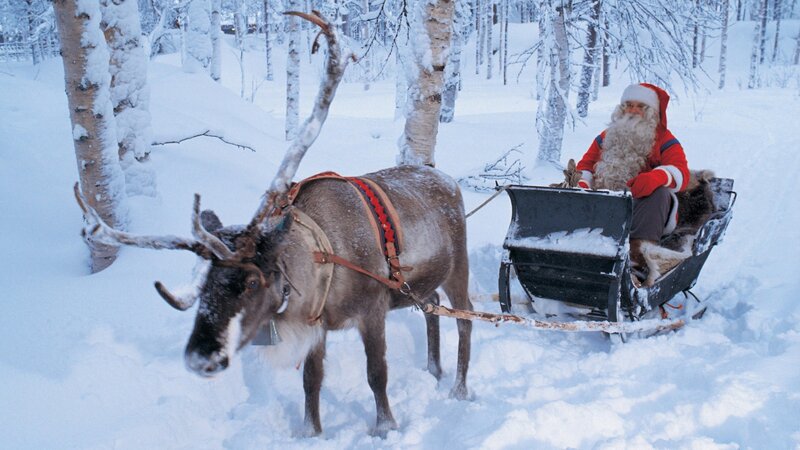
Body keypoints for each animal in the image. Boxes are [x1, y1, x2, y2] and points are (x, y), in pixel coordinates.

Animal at [73, 11, 472, 438]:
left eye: (251, 282)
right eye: (202, 284)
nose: (200, 358)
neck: (324, 258)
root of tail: (448, 179)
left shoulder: (372, 310)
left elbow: (376, 374)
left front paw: (385, 427)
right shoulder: (319, 324)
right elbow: (311, 381)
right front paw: (311, 432)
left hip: (458, 267)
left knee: (465, 319)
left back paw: (459, 388)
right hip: (422, 283)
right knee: (431, 307)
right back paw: (434, 370)